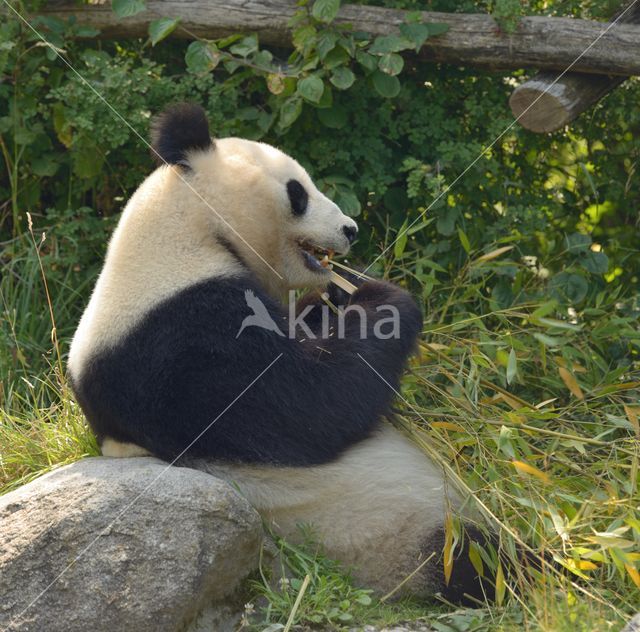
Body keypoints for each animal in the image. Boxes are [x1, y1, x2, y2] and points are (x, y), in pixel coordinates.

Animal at [69, 102, 490, 604]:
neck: (191, 233)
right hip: (388, 533)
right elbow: (309, 407)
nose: (351, 229)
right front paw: (381, 295)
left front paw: (336, 293)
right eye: (298, 192)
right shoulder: (179, 346)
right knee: (473, 558)